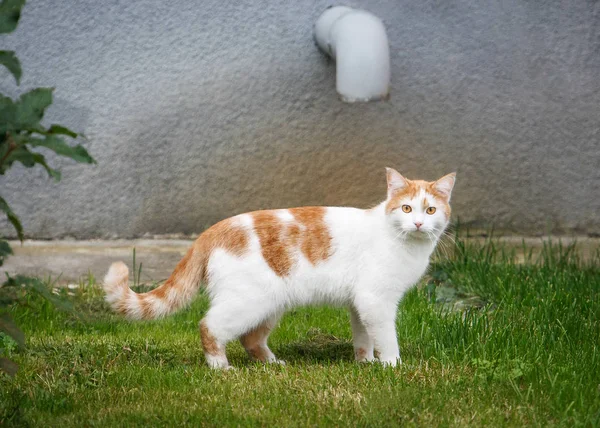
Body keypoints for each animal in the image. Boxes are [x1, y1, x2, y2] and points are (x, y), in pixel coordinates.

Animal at [104, 169, 454, 370]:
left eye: (430, 210)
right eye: (406, 208)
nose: (418, 223)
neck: (400, 240)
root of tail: (213, 229)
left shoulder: (360, 303)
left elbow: (364, 337)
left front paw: (365, 363)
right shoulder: (376, 301)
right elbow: (386, 336)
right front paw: (392, 366)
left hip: (271, 304)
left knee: (250, 339)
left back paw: (274, 365)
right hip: (249, 302)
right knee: (209, 326)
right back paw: (220, 367)